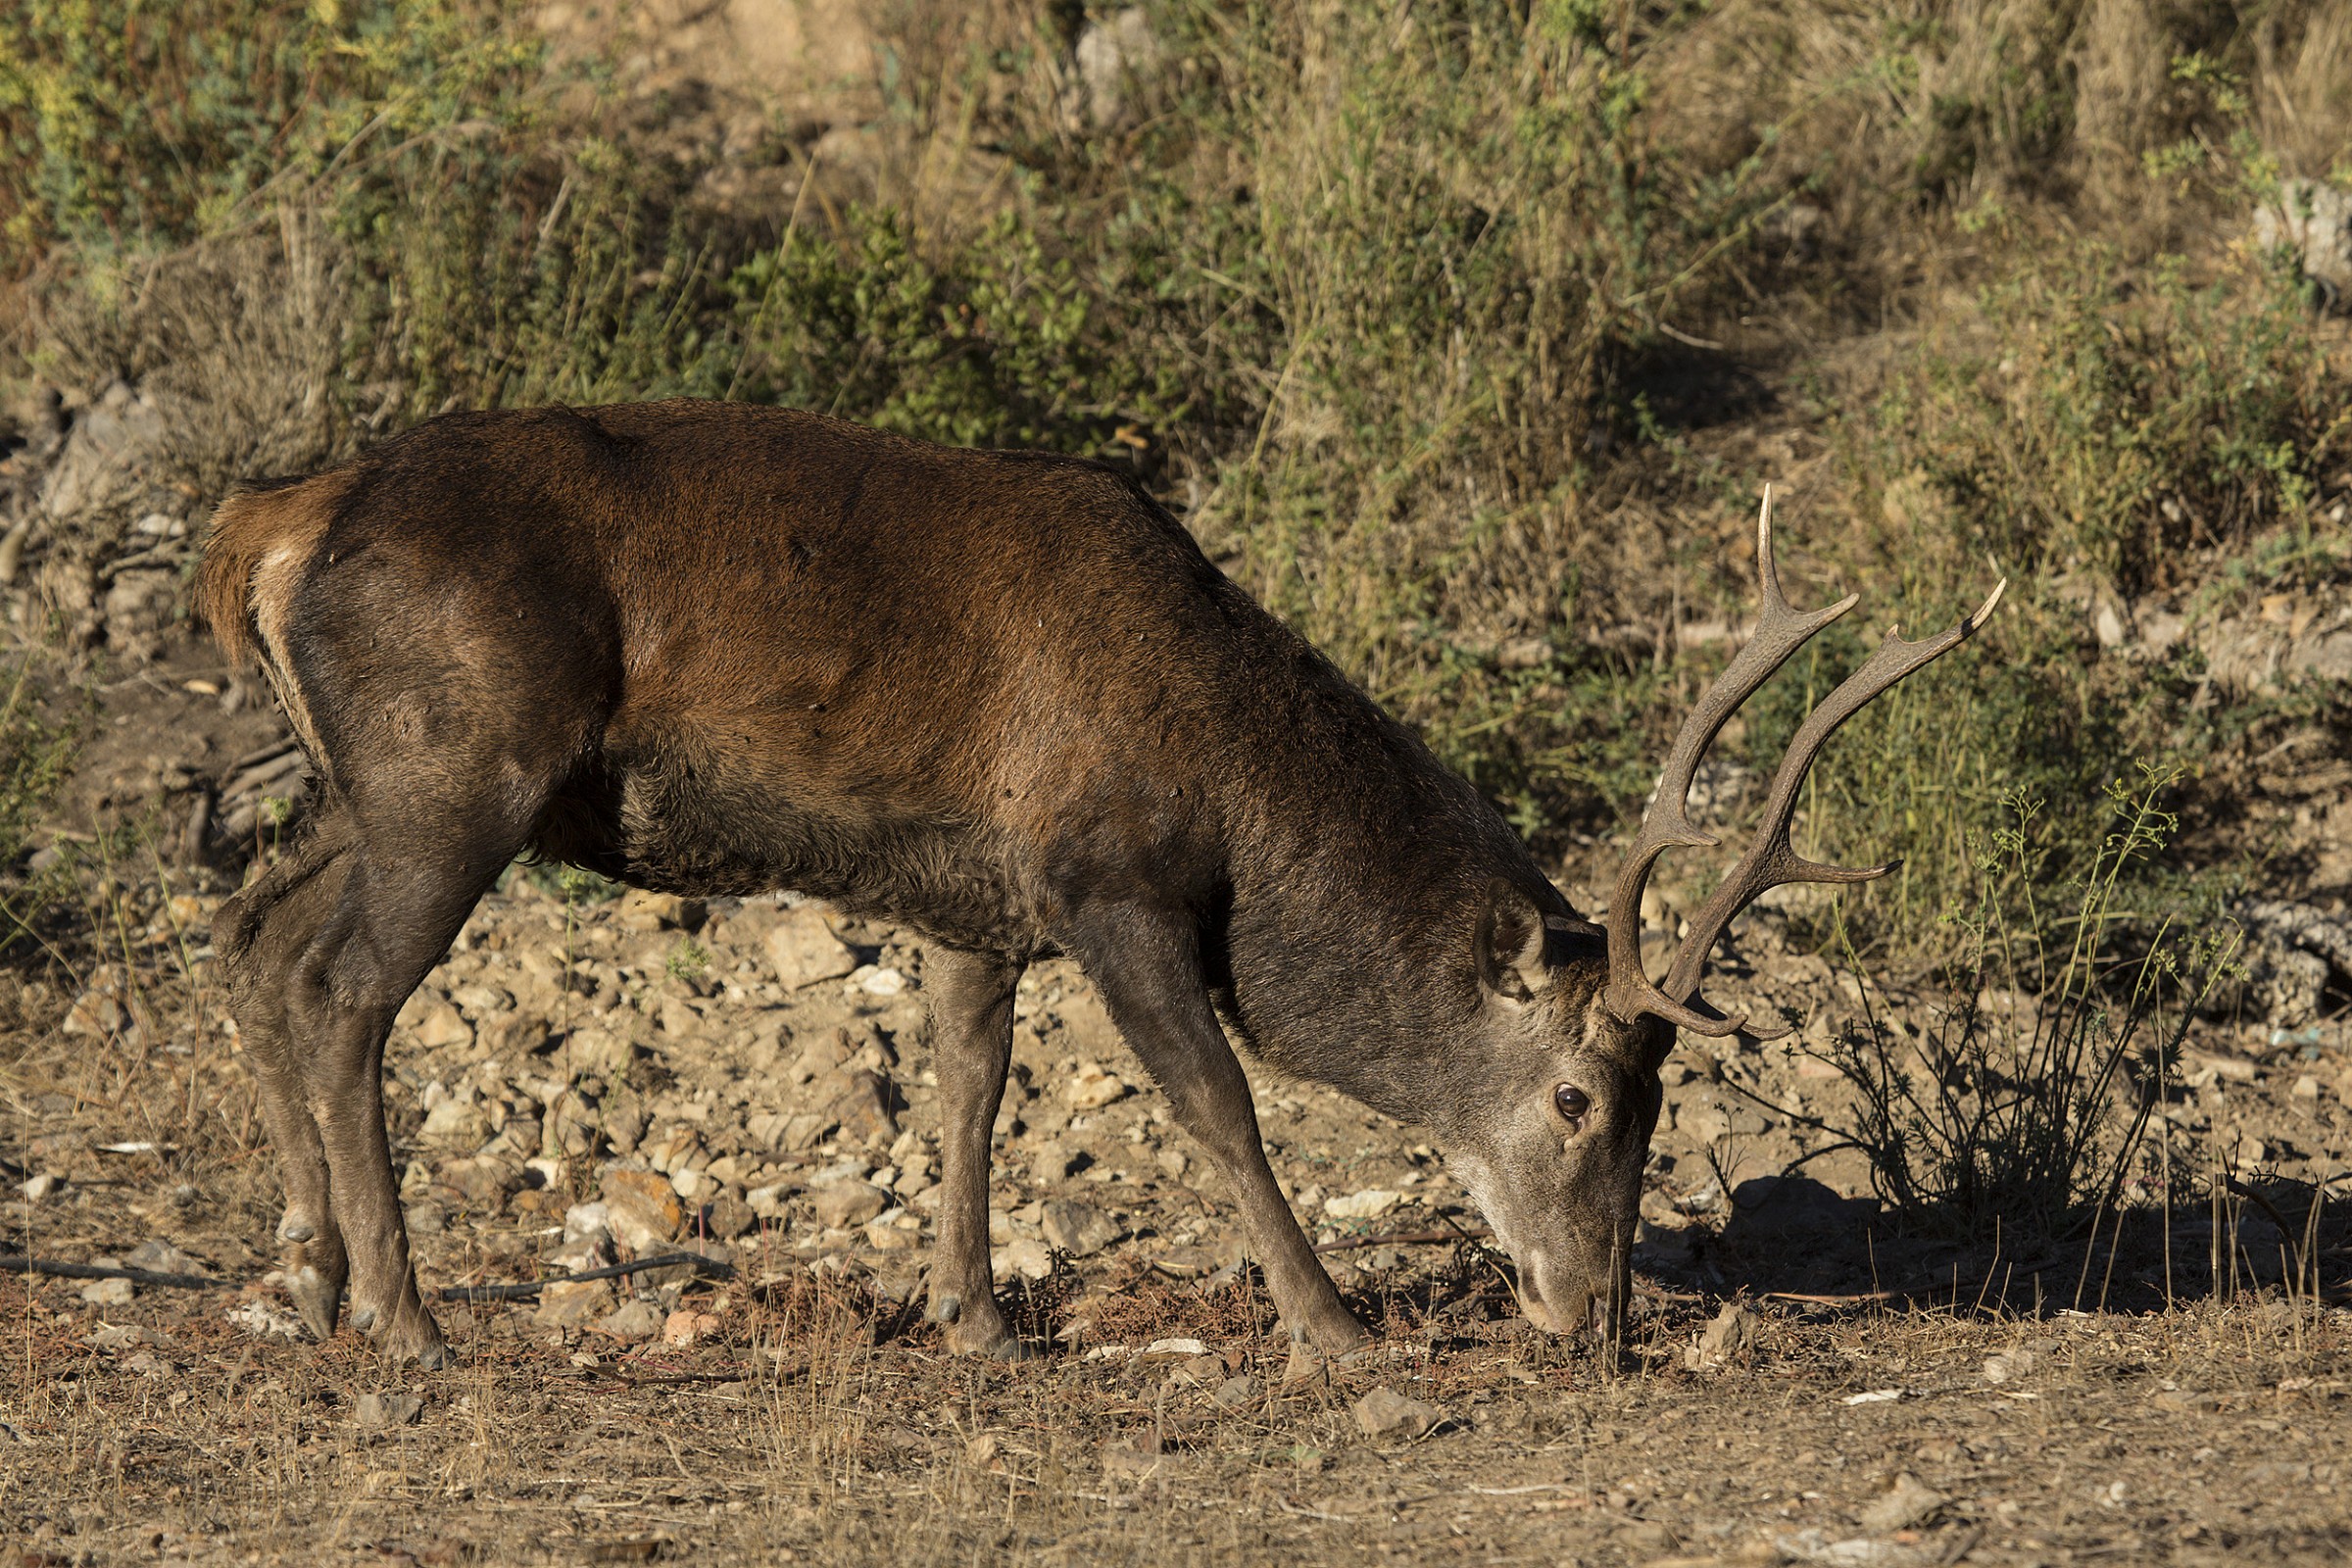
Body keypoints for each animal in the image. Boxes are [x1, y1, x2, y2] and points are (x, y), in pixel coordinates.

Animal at [197, 400, 2002, 1370]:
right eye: (1579, 1099)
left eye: (1662, 1105)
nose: (1596, 1312)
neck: (1240, 801)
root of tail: (271, 528)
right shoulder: (1111, 882)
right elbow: (1221, 1105)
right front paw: (1333, 1329)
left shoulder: (973, 906)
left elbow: (969, 1087)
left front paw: (978, 1317)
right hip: (458, 776)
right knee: (345, 988)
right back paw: (408, 1318)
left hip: (374, 790)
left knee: (255, 930)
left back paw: (310, 1272)